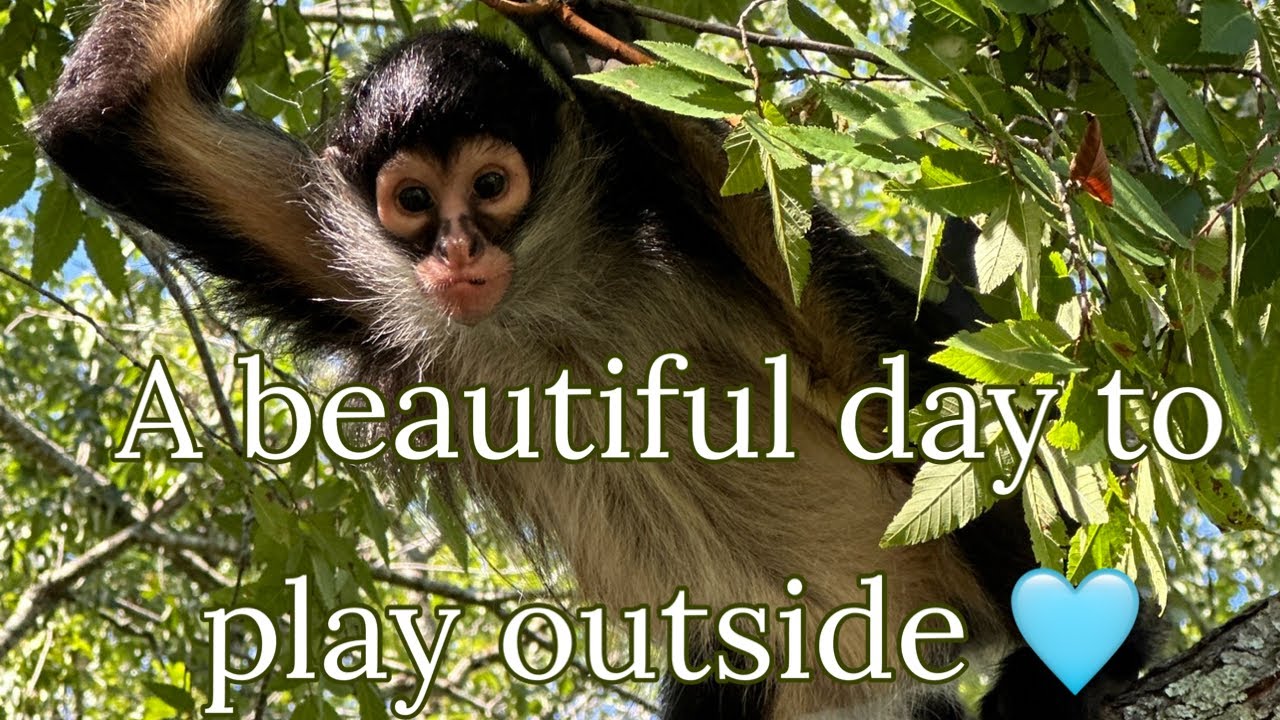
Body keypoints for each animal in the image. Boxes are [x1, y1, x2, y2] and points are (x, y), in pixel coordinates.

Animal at [33, 0, 1153, 717]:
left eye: (490, 187)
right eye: (412, 202)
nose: (456, 251)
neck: (542, 308)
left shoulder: (657, 218)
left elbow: (873, 353)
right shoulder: (355, 263)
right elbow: (118, 110)